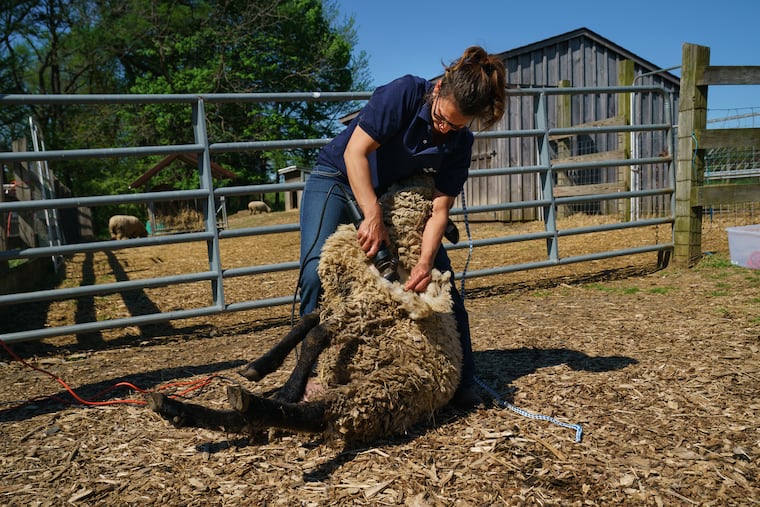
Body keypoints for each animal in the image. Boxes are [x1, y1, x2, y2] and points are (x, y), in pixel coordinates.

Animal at [147, 176, 462, 446]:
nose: (430, 173)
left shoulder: (364, 310)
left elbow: (314, 336)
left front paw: (289, 387)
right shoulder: (339, 303)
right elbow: (304, 323)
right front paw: (260, 366)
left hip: (387, 389)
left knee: (321, 413)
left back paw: (260, 404)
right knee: (252, 422)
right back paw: (176, 409)